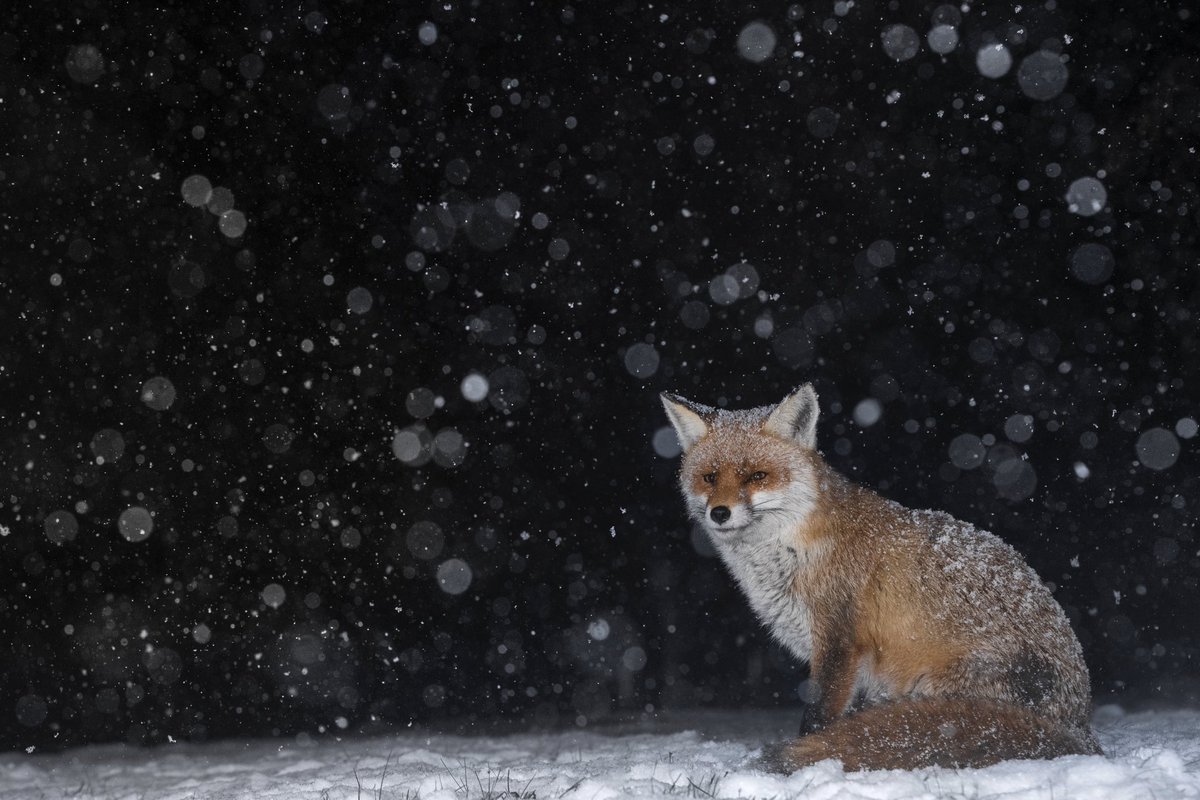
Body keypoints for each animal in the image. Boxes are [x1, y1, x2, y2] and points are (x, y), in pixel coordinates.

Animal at [661, 384, 1101, 772]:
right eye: (710, 477)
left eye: (756, 476)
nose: (719, 513)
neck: (791, 550)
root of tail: (1079, 730)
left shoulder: (840, 642)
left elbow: (818, 719)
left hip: (932, 686)